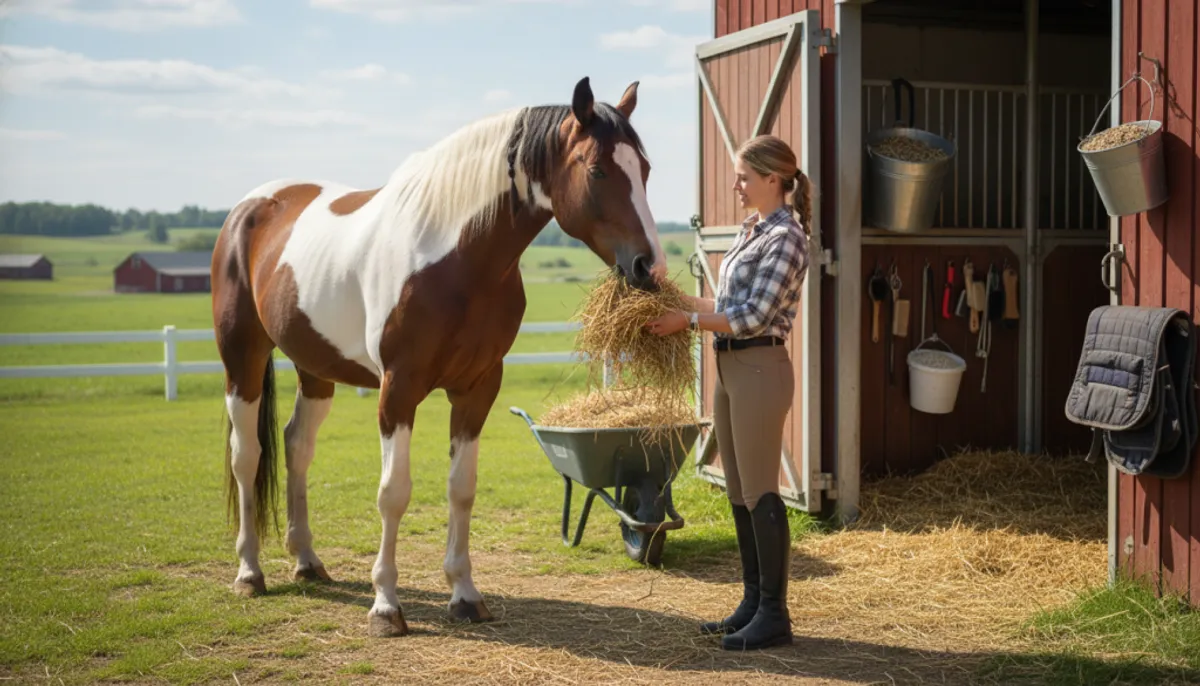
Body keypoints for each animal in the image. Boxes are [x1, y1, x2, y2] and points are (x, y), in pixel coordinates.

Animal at [210, 76, 667, 637]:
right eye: (598, 169)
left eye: (644, 169)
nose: (648, 267)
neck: (454, 258)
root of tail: (251, 207)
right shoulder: (398, 389)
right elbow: (393, 492)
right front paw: (386, 605)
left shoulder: (477, 389)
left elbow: (461, 488)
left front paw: (465, 595)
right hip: (242, 358)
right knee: (247, 455)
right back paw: (249, 572)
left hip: (314, 368)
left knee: (297, 446)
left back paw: (307, 562)